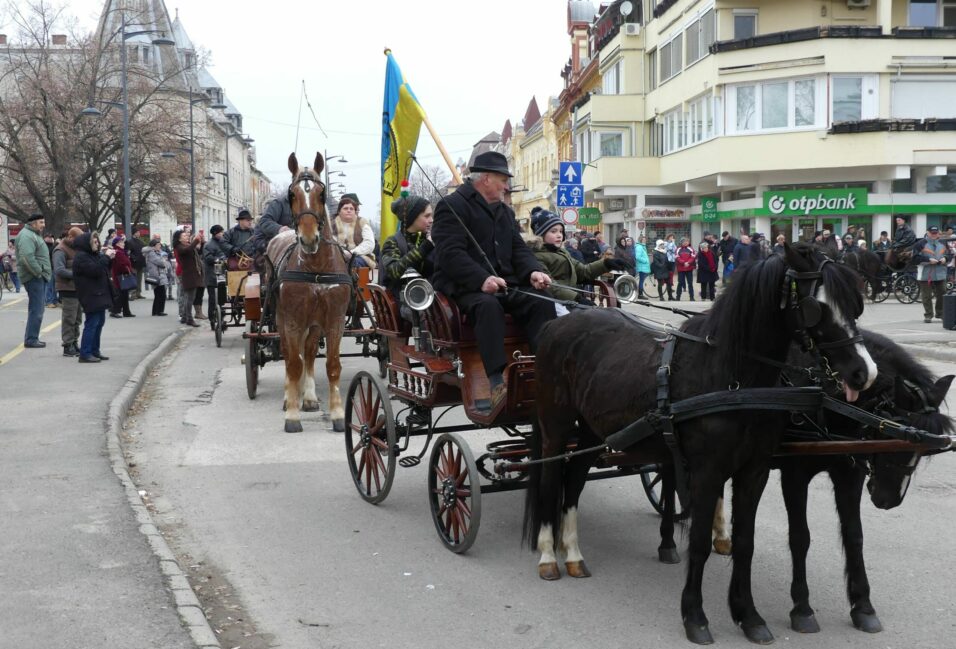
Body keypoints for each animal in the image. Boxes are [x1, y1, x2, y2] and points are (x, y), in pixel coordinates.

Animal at [266, 153, 352, 430]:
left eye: (321, 193)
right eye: (291, 194)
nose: (308, 238)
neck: (316, 267)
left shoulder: (335, 319)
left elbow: (332, 365)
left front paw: (337, 413)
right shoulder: (293, 319)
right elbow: (293, 363)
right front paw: (292, 414)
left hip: (313, 324)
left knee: (310, 352)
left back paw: (310, 396)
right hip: (282, 318)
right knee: (290, 354)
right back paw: (290, 397)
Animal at [528, 243, 876, 644]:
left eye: (855, 304)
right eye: (816, 306)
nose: (864, 373)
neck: (733, 380)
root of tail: (558, 323)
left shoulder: (753, 471)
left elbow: (744, 541)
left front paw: (748, 615)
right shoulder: (707, 473)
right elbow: (697, 542)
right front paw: (695, 615)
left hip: (592, 430)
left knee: (574, 479)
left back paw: (572, 554)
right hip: (555, 427)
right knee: (550, 479)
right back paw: (548, 556)